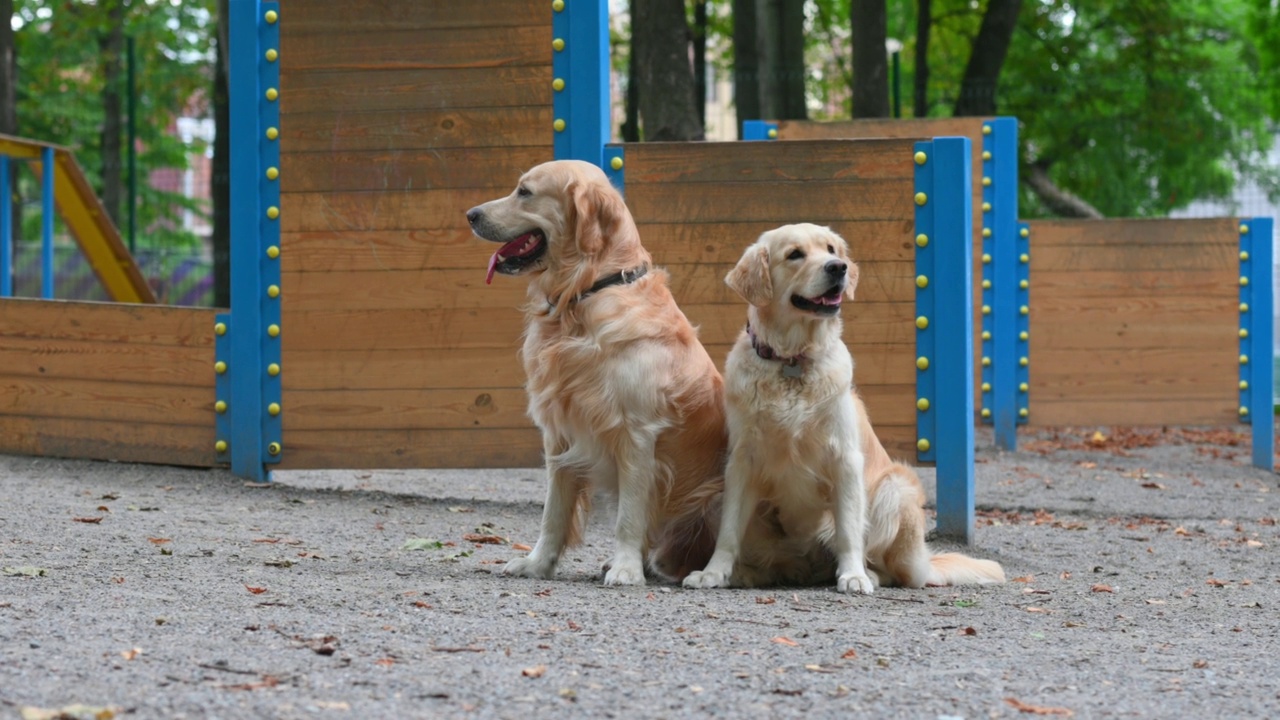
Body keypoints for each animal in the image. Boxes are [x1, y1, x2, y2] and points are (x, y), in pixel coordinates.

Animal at [468, 158, 732, 584]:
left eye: (524, 192)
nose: (470, 214)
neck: (589, 291)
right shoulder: (559, 434)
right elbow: (553, 513)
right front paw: (537, 563)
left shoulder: (638, 434)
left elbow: (628, 516)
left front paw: (625, 568)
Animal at [686, 224, 1003, 589]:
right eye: (795, 254)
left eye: (831, 249)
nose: (838, 267)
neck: (792, 361)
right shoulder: (742, 461)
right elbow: (729, 530)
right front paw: (713, 572)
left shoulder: (845, 458)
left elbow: (849, 529)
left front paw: (853, 575)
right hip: (716, 497)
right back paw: (747, 573)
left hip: (896, 487)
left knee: (893, 569)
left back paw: (869, 574)